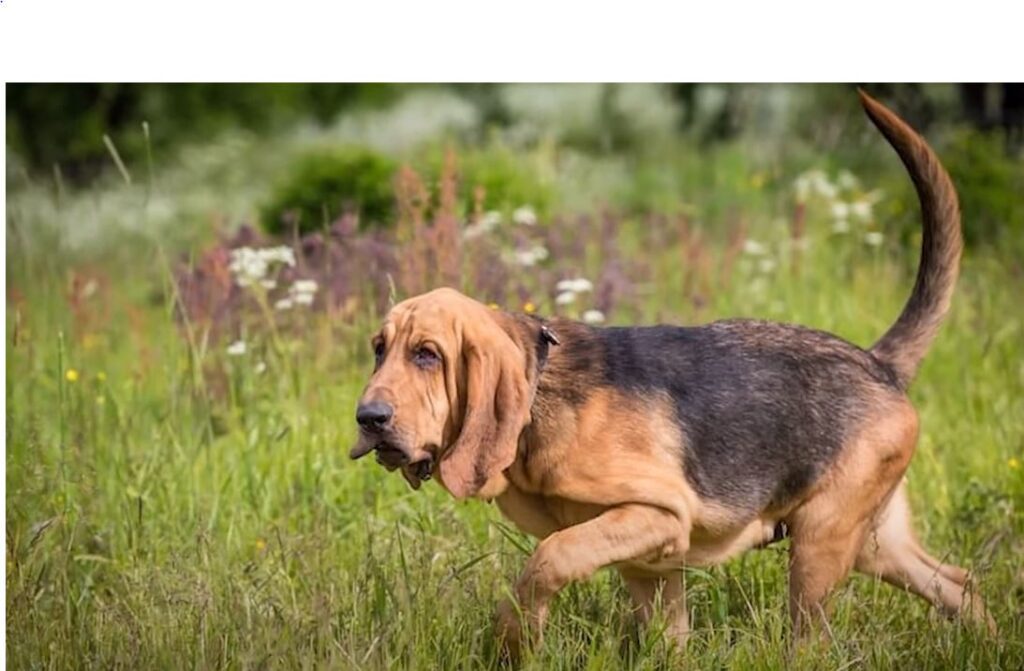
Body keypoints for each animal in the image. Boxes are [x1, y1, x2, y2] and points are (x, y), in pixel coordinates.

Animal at [350, 91, 991, 659]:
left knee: (814, 639)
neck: (540, 398)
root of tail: (880, 362)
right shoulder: (652, 566)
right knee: (961, 587)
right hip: (875, 545)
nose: (368, 418)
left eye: (428, 355)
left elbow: (546, 560)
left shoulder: (655, 516)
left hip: (819, 546)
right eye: (379, 350)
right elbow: (664, 637)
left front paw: (517, 639)